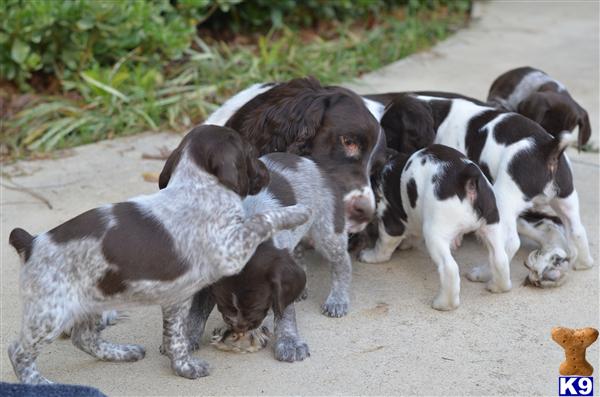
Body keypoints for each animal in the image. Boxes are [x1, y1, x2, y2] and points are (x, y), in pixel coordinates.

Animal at [7, 124, 310, 384]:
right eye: (249, 152)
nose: (267, 170)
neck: (196, 188)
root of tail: (31, 243)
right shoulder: (230, 252)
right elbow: (262, 219)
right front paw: (297, 212)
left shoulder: (177, 298)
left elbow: (175, 338)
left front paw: (184, 368)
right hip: (49, 314)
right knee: (18, 351)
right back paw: (37, 383)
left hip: (90, 301)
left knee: (83, 338)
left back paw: (121, 353)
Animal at [360, 145, 502, 310]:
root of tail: (466, 177)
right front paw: (406, 244)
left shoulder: (391, 222)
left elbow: (382, 246)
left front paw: (370, 256)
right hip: (492, 224)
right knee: (499, 257)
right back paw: (498, 287)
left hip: (435, 235)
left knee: (449, 268)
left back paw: (444, 304)